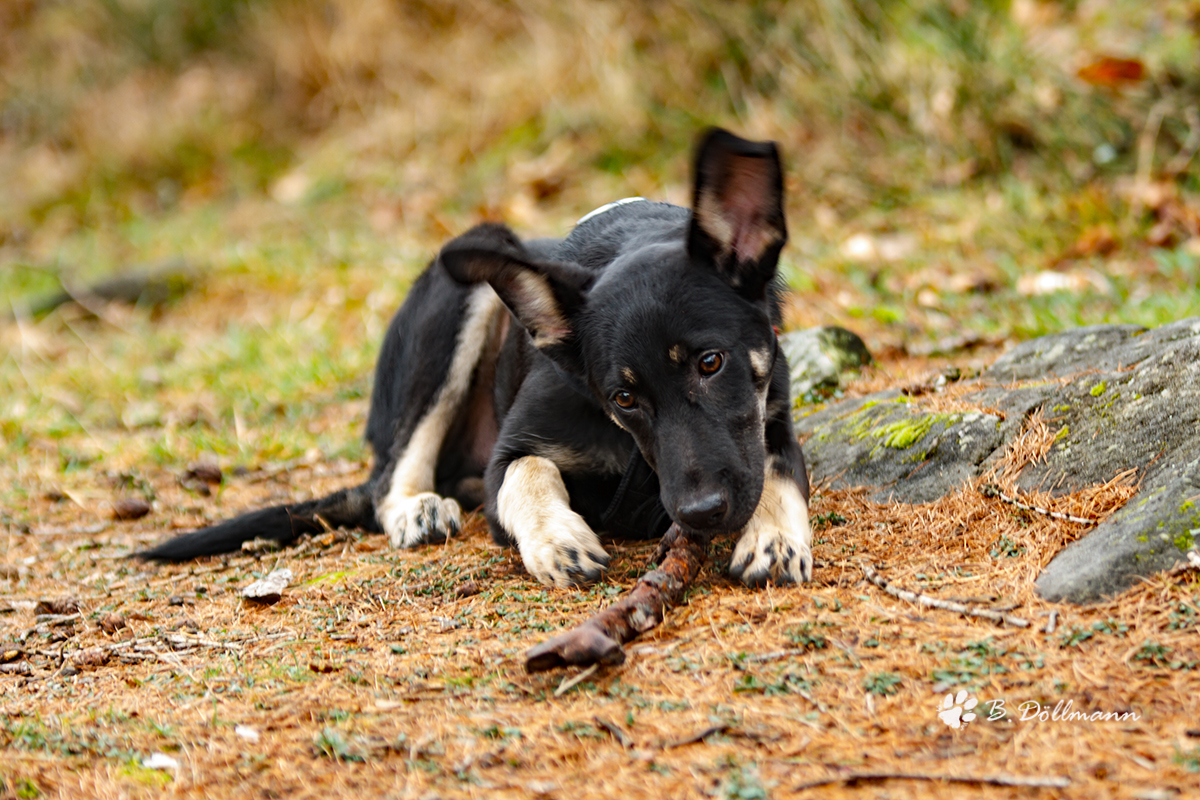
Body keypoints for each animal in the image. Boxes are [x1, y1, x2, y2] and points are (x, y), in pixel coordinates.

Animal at [140, 130, 816, 587]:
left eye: (711, 363)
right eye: (623, 398)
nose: (701, 513)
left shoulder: (768, 420)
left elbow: (779, 469)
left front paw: (774, 536)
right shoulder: (509, 455)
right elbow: (530, 473)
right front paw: (557, 537)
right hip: (458, 300)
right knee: (390, 479)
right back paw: (418, 509)